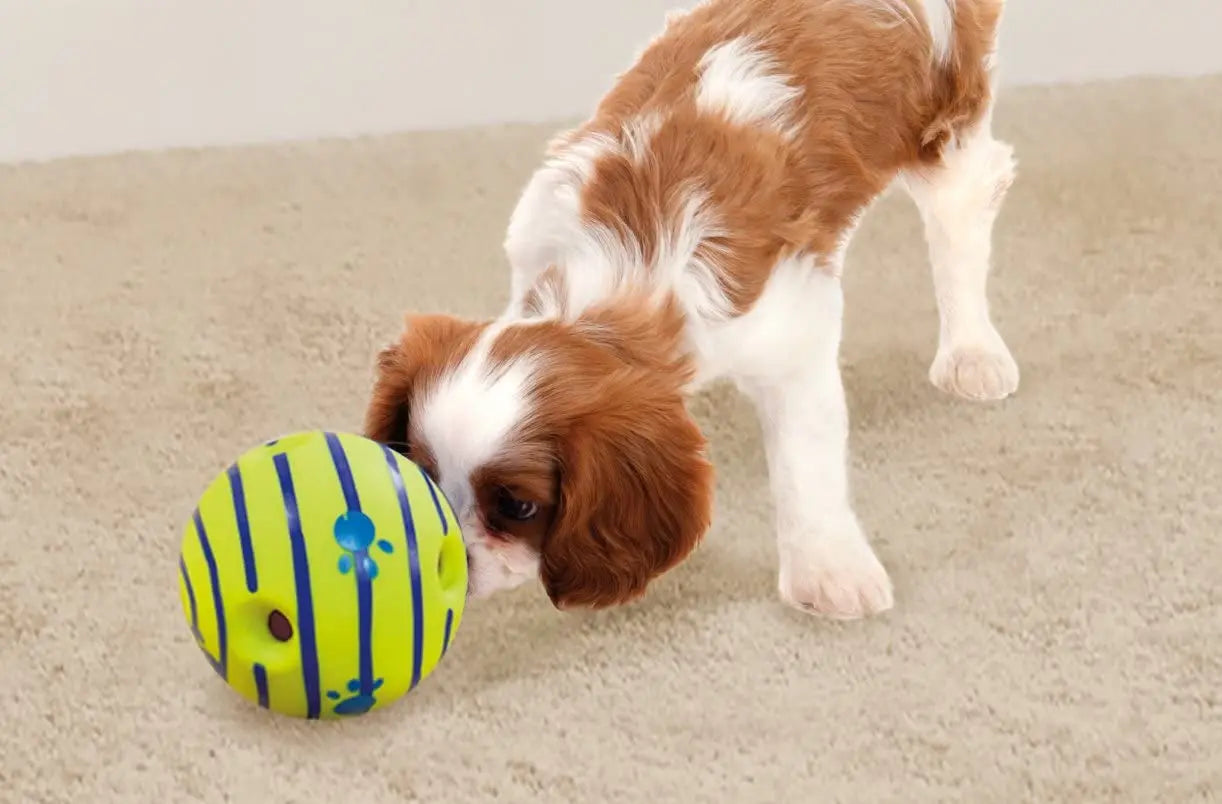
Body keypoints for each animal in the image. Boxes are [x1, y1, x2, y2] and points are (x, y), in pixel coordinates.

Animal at [364, 0, 1021, 615]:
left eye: (518, 505)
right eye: (420, 470)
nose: (439, 555)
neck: (620, 264)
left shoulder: (789, 330)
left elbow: (805, 461)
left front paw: (829, 570)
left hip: (947, 127)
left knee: (960, 224)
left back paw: (972, 353)